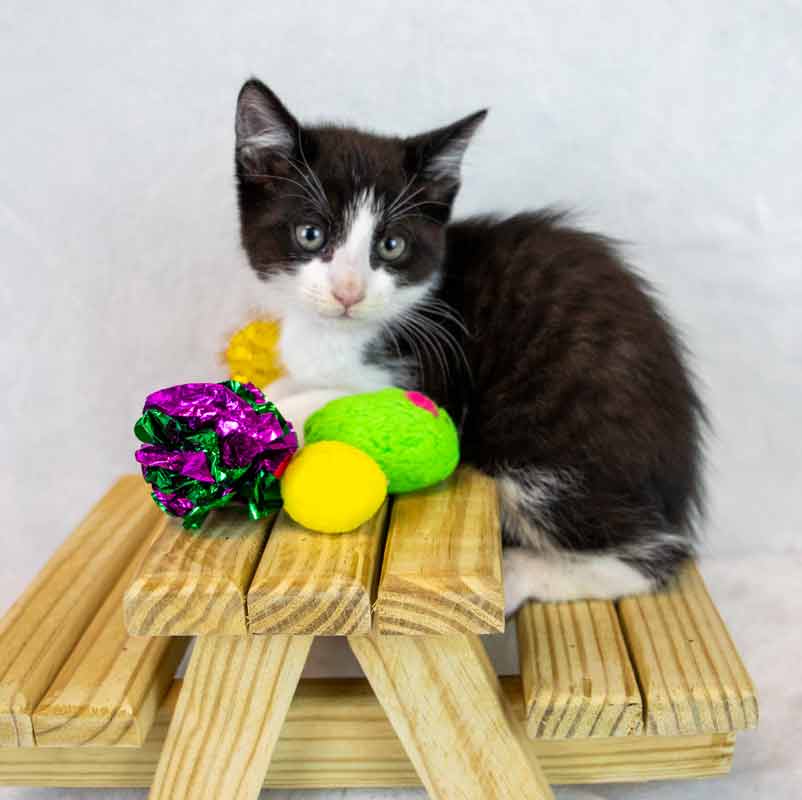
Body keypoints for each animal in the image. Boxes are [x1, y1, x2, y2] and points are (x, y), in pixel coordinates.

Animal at [234, 78, 705, 615]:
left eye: (391, 246)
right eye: (310, 234)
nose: (348, 292)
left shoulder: (438, 378)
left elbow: (331, 400)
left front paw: (257, 419)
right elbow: (289, 384)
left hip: (540, 439)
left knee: (653, 554)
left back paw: (523, 573)